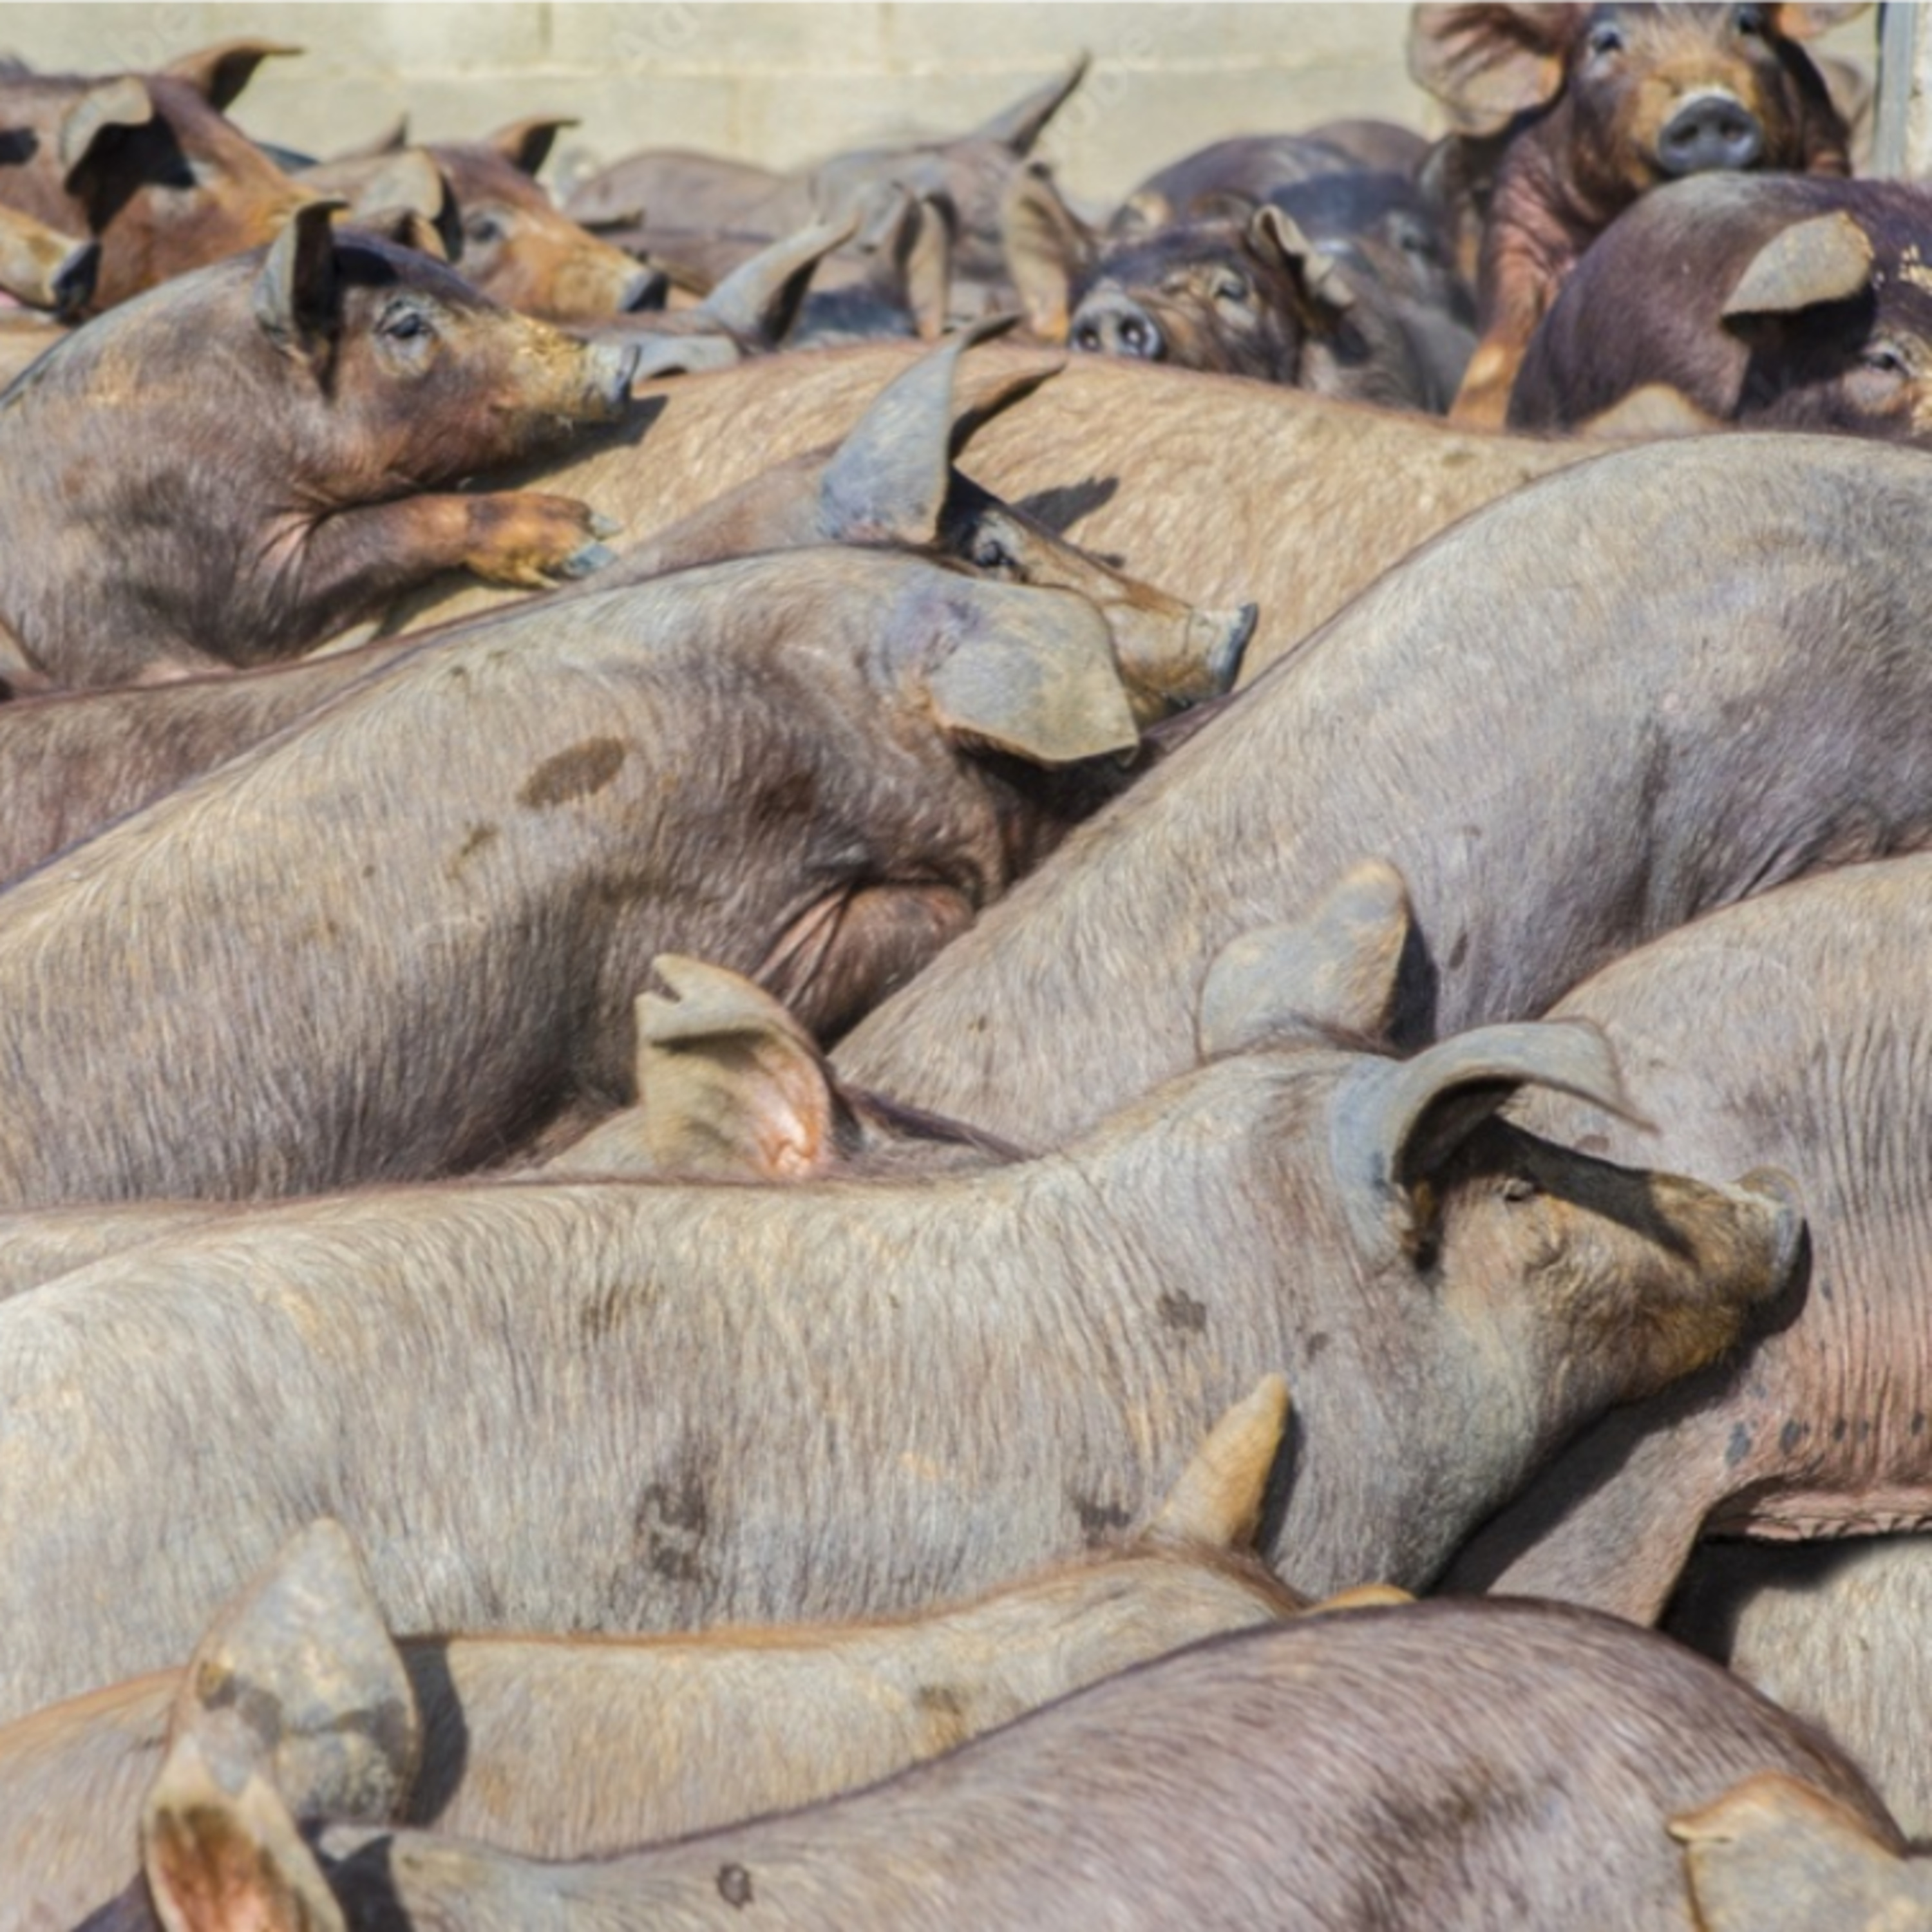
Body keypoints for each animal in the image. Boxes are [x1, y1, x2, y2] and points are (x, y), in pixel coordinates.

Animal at [0, 202, 637, 688]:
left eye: (469, 287)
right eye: (407, 327)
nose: (623, 360)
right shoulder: (208, 565)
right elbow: (382, 531)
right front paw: (592, 538)